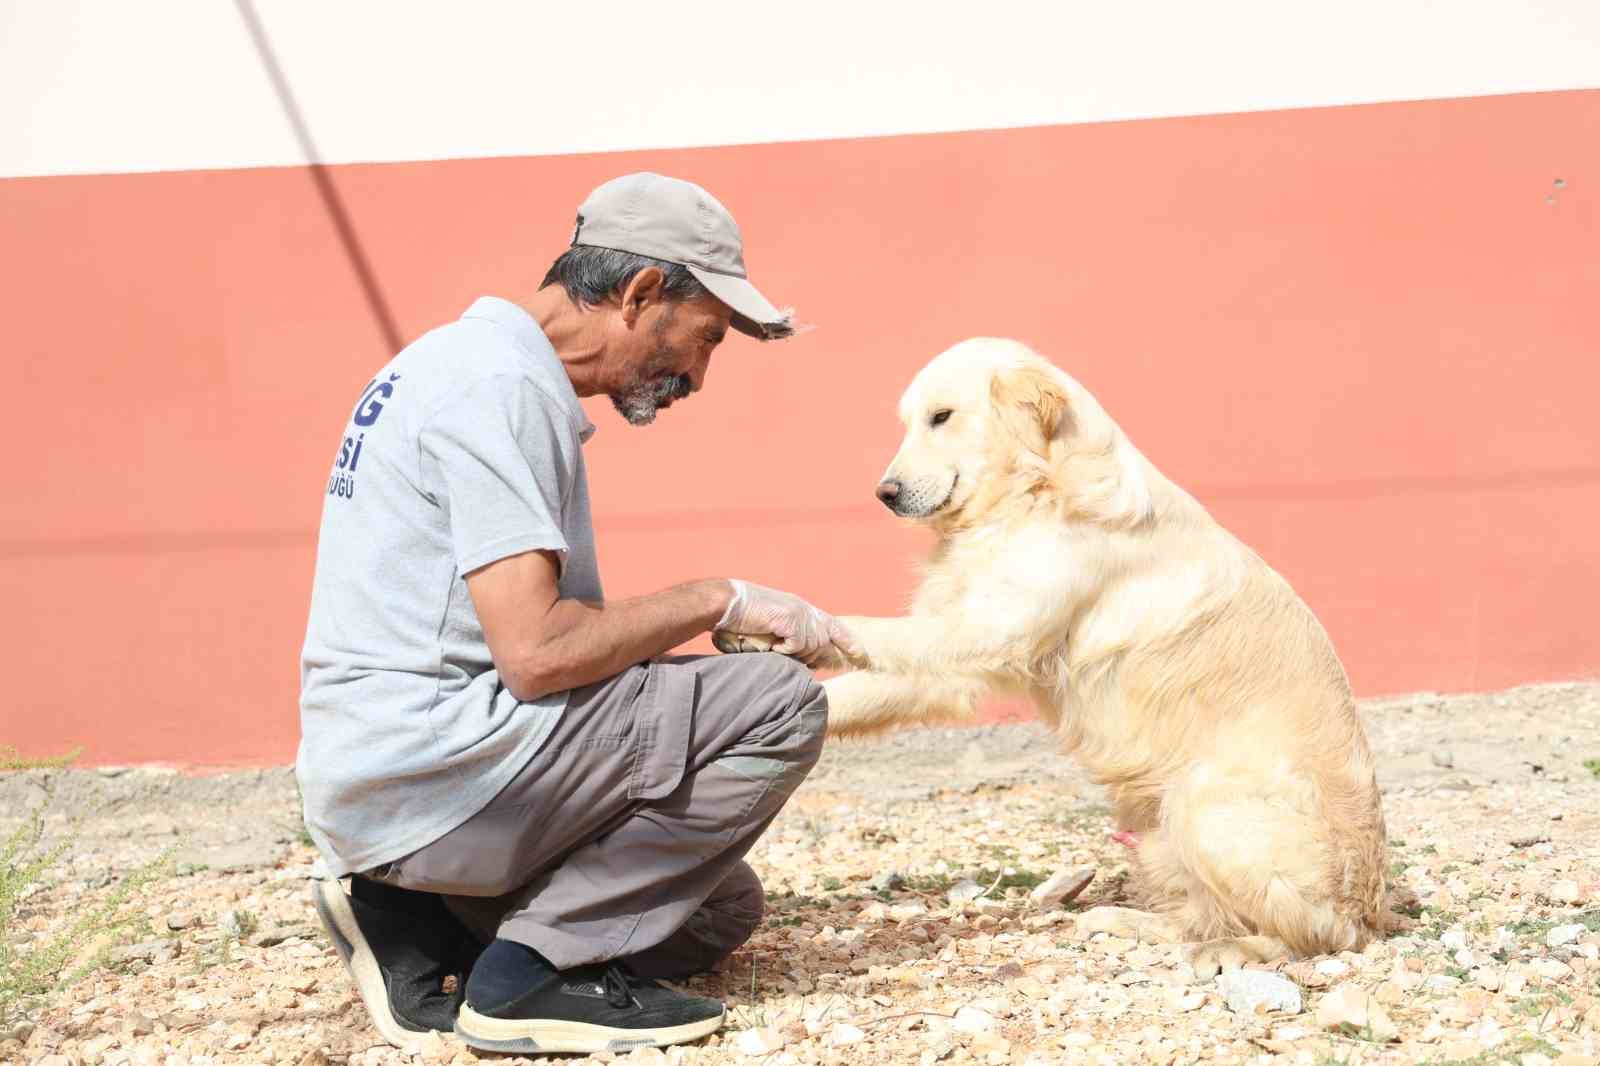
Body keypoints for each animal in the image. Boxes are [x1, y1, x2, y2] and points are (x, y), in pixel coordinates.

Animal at [720, 337, 1395, 973]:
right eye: (909, 421)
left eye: (942, 416)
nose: (884, 493)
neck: (1033, 492)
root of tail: (1369, 911)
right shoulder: (950, 662)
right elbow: (853, 685)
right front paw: (758, 654)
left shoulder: (993, 628)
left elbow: (865, 631)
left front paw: (794, 628)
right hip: (1158, 824)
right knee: (1200, 915)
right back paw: (1122, 922)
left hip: (1206, 802)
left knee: (1309, 935)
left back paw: (1237, 949)